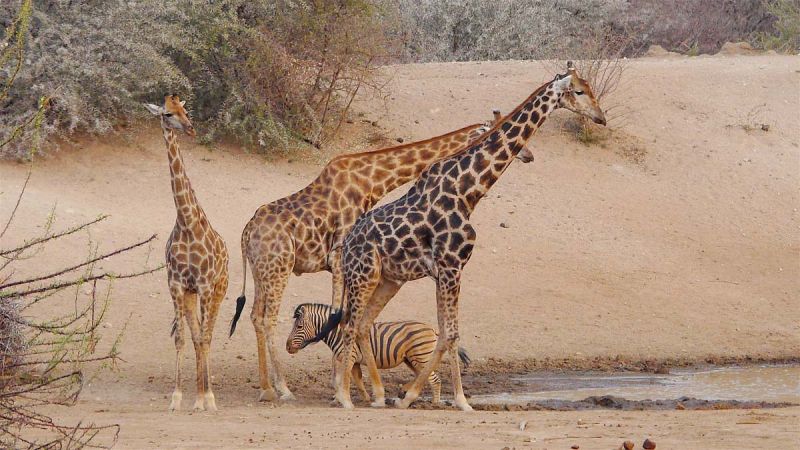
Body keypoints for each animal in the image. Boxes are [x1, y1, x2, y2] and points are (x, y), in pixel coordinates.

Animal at [145, 95, 228, 412]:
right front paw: (178, 398)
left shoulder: (204, 285)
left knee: (208, 336)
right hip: (192, 297)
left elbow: (204, 339)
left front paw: (208, 399)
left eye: (185, 110)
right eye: (167, 114)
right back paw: (198, 394)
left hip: (218, 290)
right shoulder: (177, 284)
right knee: (196, 336)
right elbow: (182, 339)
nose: (191, 128)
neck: (187, 222)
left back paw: (207, 396)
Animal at [284, 302, 468, 404]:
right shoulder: (355, 361)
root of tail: (432, 329)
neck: (339, 332)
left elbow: (343, 378)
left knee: (434, 379)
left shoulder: (349, 357)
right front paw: (366, 398)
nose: (287, 347)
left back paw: (434, 403)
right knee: (422, 375)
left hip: (420, 356)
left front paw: (338, 398)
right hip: (411, 358)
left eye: (299, 326)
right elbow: (357, 380)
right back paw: (405, 391)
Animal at [328, 63, 604, 412]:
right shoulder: (450, 267)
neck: (468, 191)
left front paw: (412, 396)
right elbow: (450, 334)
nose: (601, 117)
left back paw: (376, 395)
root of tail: (347, 243)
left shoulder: (445, 270)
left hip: (389, 278)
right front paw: (456, 400)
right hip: (363, 274)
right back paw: (343, 396)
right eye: (579, 91)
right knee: (349, 323)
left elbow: (445, 333)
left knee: (363, 323)